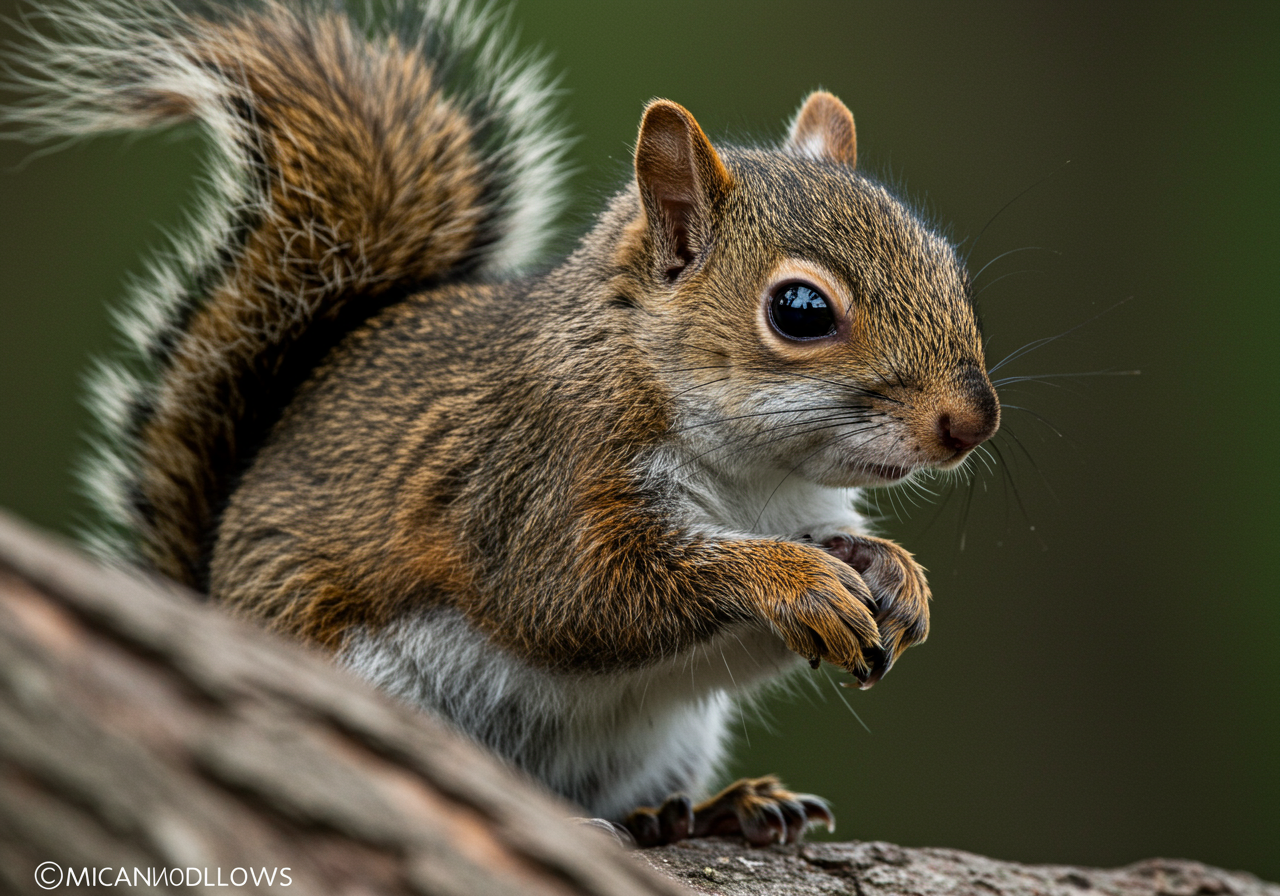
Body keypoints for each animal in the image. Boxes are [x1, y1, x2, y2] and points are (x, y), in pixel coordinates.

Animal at [6, 0, 999, 847]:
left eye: (948, 265)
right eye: (799, 310)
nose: (971, 422)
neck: (757, 478)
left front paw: (893, 575)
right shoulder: (533, 482)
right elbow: (582, 594)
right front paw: (790, 580)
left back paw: (706, 811)